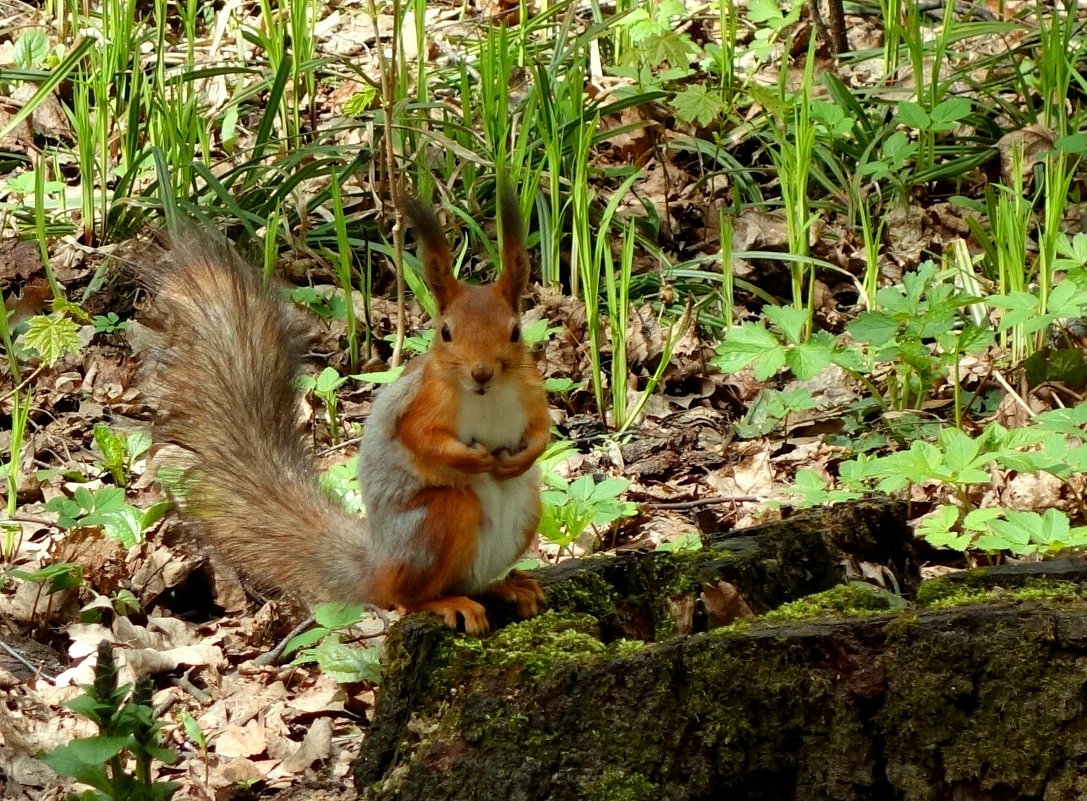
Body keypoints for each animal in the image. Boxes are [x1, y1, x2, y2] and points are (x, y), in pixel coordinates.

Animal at [142, 185, 552, 630]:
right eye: (446, 332)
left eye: (515, 332)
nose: (481, 373)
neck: (485, 396)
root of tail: (379, 566)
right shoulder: (423, 401)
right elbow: (419, 437)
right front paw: (474, 459)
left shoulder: (532, 390)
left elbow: (542, 432)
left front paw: (520, 459)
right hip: (440, 519)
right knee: (407, 597)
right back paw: (447, 602)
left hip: (528, 511)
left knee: (473, 581)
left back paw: (506, 586)